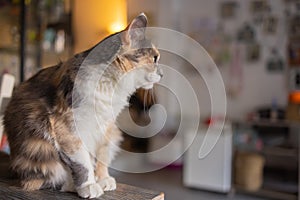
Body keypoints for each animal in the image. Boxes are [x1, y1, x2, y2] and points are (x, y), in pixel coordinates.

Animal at [2, 12, 162, 198]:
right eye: (155, 58)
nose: (162, 74)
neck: (110, 87)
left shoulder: (106, 126)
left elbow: (100, 154)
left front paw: (102, 178)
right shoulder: (67, 126)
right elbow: (82, 161)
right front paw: (89, 185)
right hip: (39, 147)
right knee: (42, 179)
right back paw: (72, 184)